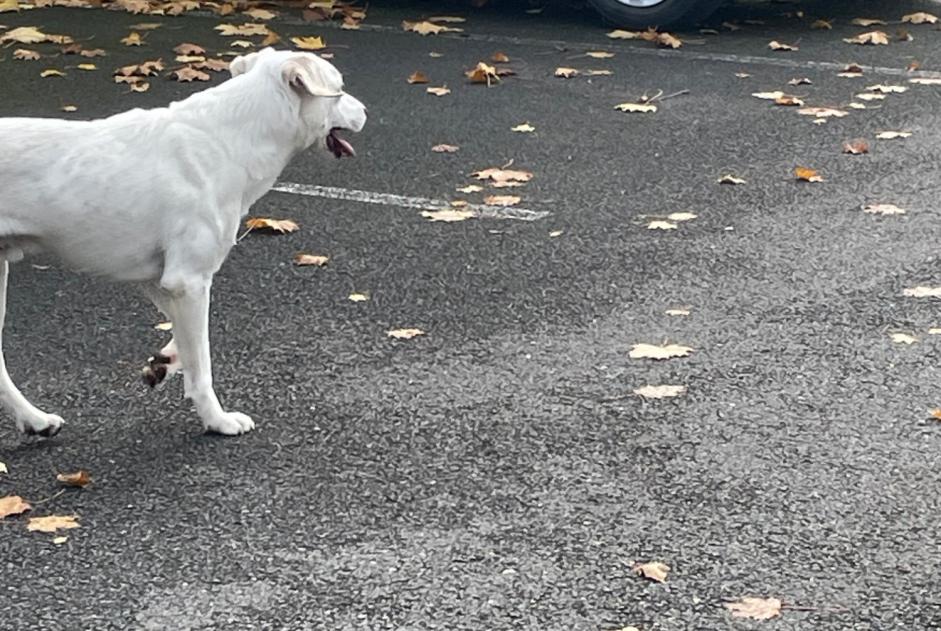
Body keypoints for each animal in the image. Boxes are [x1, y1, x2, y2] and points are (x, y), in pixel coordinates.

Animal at [0, 47, 366, 436]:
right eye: (339, 90)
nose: (365, 111)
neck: (230, 139)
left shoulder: (165, 280)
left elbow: (188, 341)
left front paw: (164, 360)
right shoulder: (189, 280)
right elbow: (202, 364)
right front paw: (217, 420)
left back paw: (35, 420)